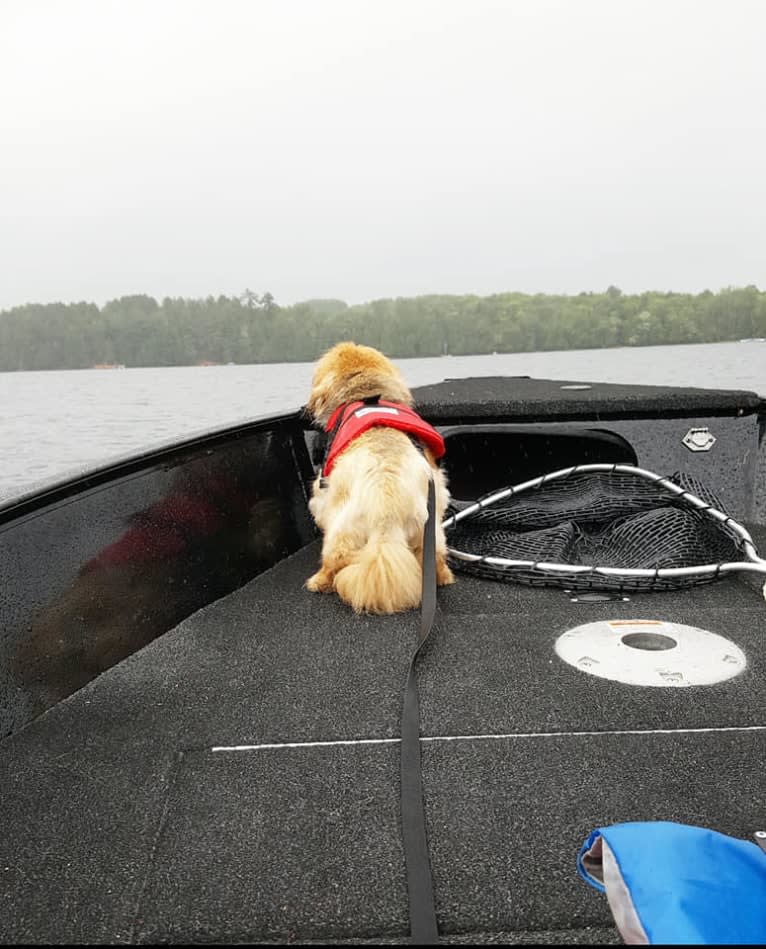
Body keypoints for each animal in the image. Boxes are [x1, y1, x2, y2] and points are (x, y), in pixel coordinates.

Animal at [304, 340, 452, 616]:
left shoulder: (323, 487)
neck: (366, 398)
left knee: (335, 561)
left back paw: (318, 582)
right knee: (434, 562)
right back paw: (444, 577)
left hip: (340, 533)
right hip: (431, 534)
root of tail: (386, 514)